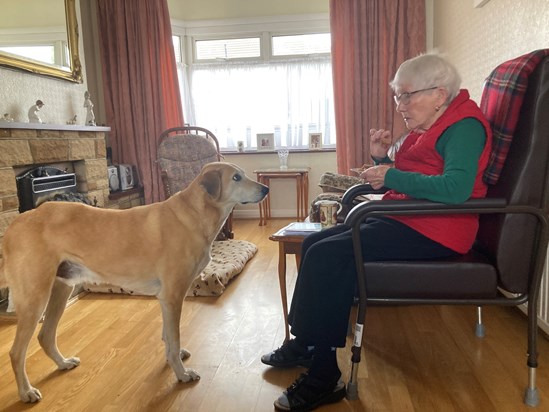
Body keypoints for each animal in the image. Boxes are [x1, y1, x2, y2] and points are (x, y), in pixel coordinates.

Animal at [0, 161, 268, 402]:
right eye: (236, 178)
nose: (265, 189)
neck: (196, 213)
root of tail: (16, 222)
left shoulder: (166, 299)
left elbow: (168, 336)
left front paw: (174, 359)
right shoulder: (173, 296)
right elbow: (173, 339)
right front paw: (181, 374)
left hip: (61, 289)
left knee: (45, 336)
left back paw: (63, 363)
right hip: (35, 298)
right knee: (16, 352)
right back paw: (26, 392)